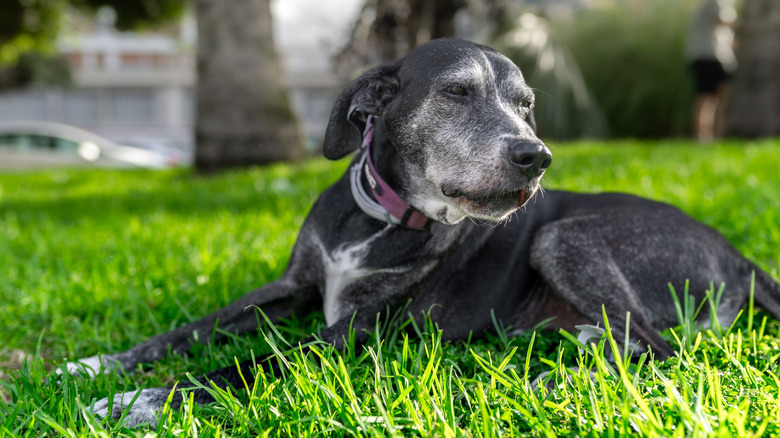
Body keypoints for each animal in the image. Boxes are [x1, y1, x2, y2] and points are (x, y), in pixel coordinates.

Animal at [62, 39, 780, 426]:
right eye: (458, 93)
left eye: (526, 106)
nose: (537, 156)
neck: (376, 218)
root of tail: (739, 255)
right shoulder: (292, 287)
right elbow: (190, 330)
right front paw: (98, 364)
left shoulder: (357, 332)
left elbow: (249, 364)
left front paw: (142, 401)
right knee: (633, 341)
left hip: (564, 237)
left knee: (663, 350)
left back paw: (551, 383)